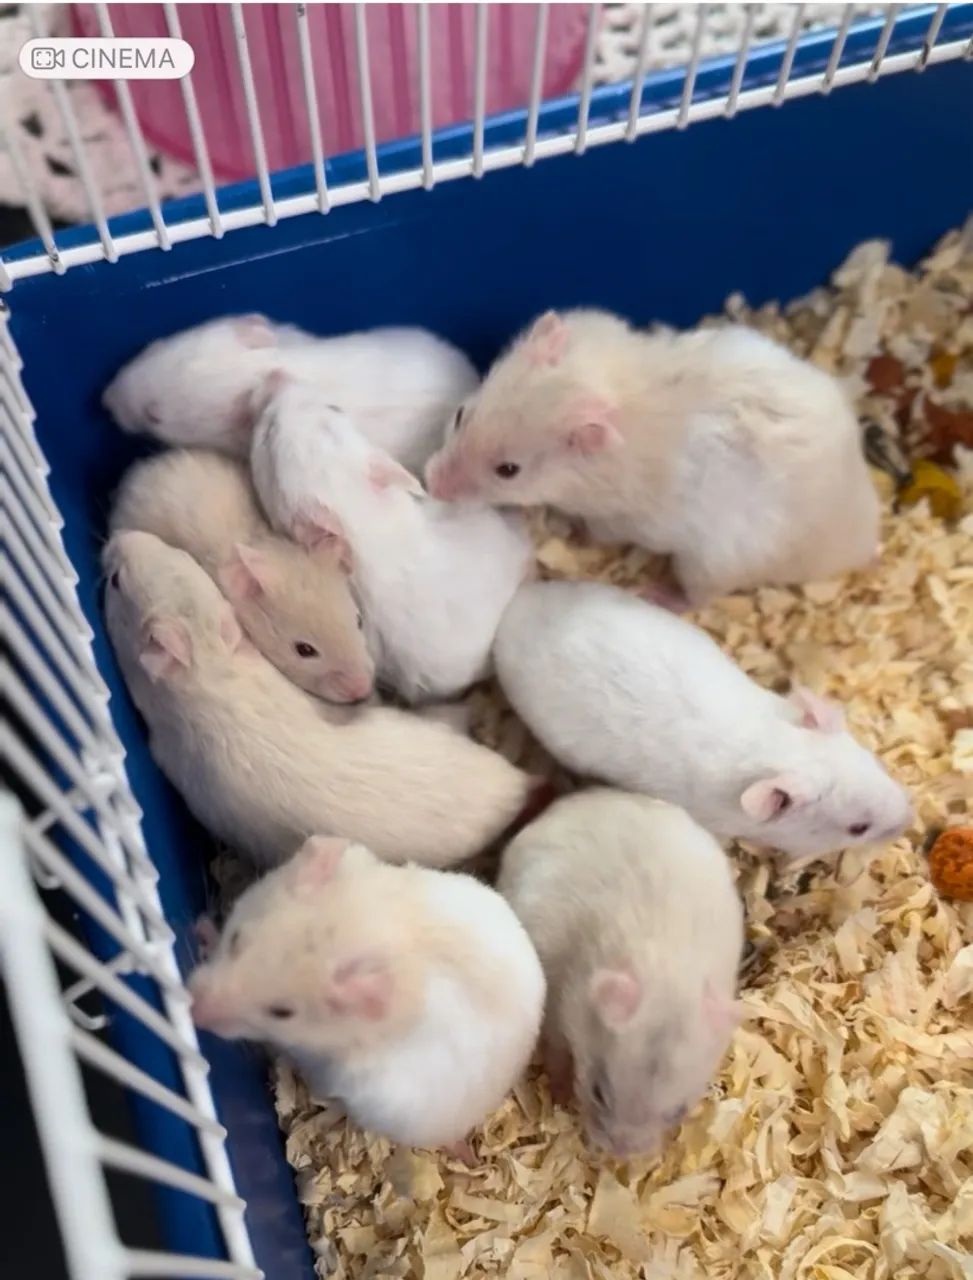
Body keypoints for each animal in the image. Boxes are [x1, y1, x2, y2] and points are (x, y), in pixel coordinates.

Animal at [426, 310, 880, 605]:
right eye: (461, 415)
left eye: (508, 471)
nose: (431, 483)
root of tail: (861, 542)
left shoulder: (615, 519)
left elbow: (593, 531)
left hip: (714, 562)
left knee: (700, 599)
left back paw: (656, 594)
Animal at [497, 790, 743, 1158]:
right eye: (598, 1092)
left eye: (678, 1111)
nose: (621, 1154)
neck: (667, 970)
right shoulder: (557, 1007)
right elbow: (555, 1052)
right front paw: (560, 1095)